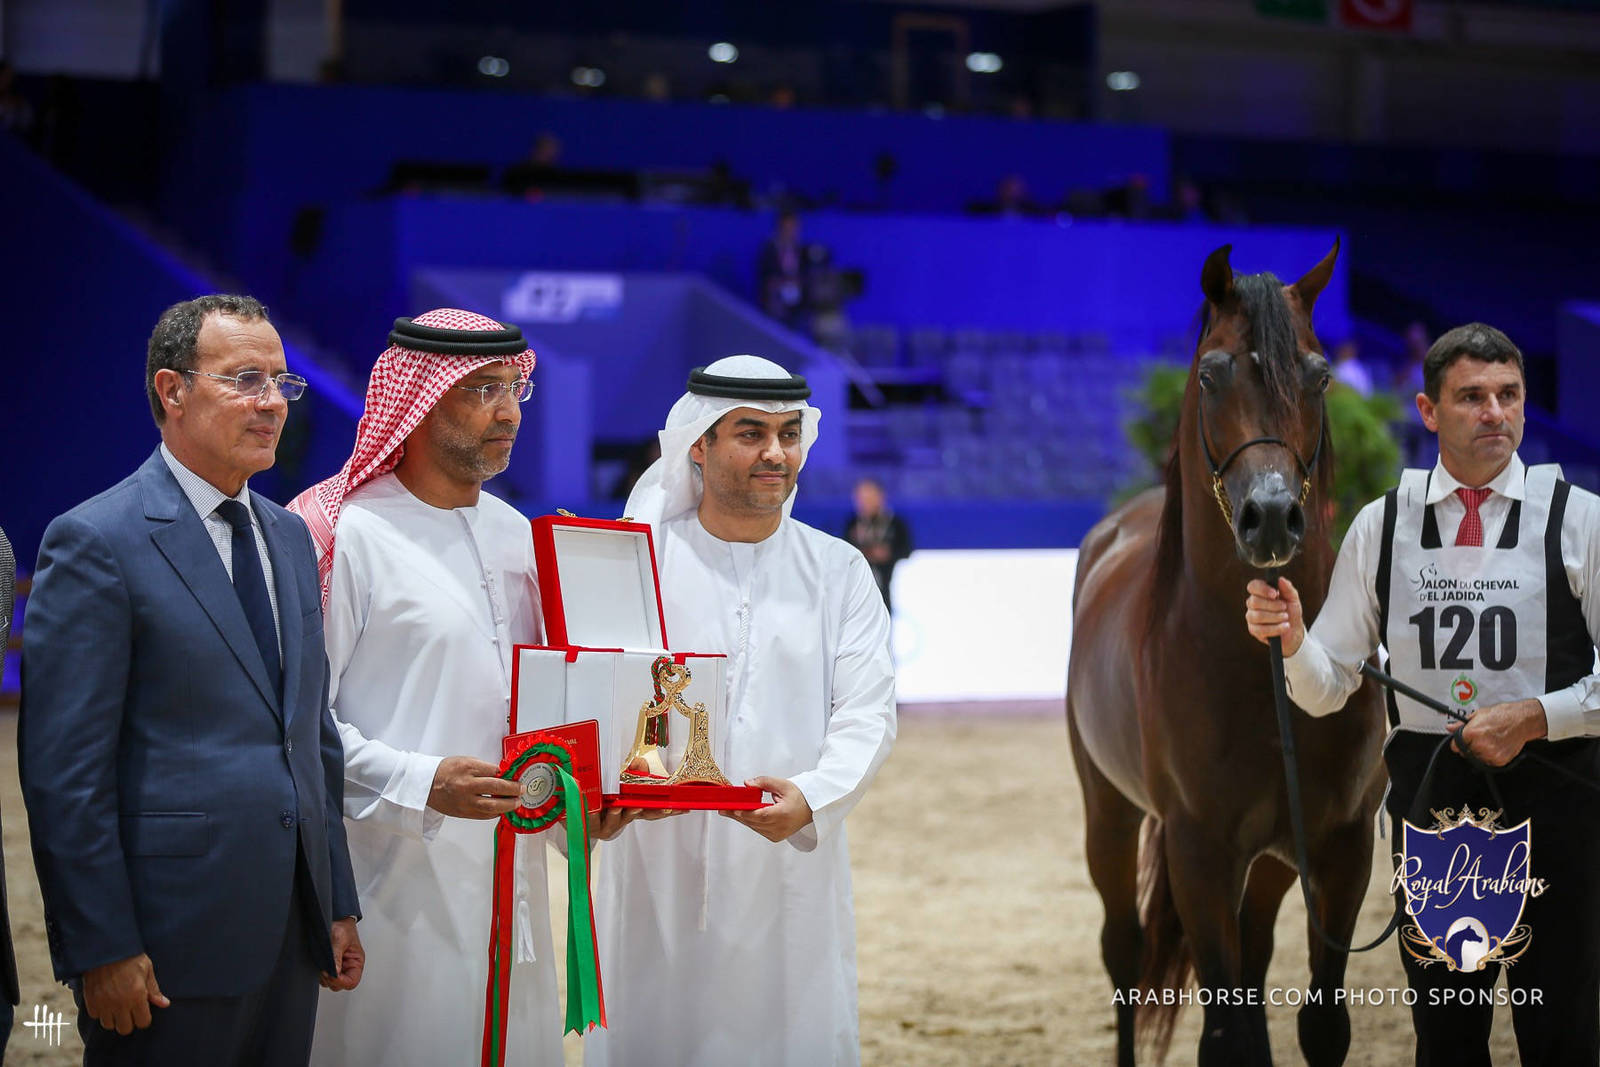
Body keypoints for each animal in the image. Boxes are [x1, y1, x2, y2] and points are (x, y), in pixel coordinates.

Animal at [1066, 241, 1386, 1066]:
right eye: (1211, 373)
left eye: (1320, 374)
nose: (1270, 516)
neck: (1256, 669)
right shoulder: (1201, 856)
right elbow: (1222, 1032)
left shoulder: (1340, 850)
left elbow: (1320, 1025)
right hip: (1108, 811)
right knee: (1123, 950)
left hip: (1271, 862)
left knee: (1255, 958)